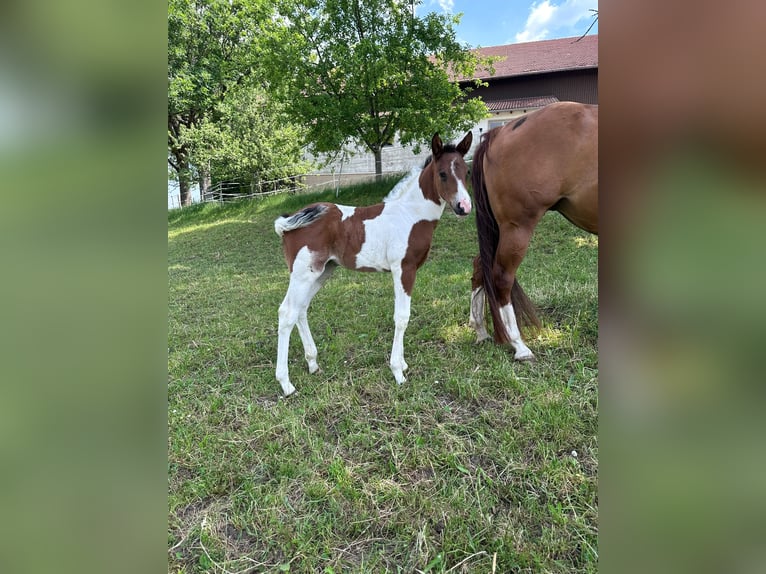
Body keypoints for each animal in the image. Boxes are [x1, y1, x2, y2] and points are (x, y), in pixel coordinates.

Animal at [274, 131, 473, 397]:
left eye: (466, 172)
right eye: (442, 173)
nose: (464, 207)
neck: (410, 215)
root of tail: (289, 223)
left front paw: (402, 364)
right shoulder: (403, 270)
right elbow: (402, 317)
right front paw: (398, 371)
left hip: (322, 272)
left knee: (301, 309)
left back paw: (313, 363)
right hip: (303, 274)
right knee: (286, 313)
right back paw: (286, 383)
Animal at [469, 101, 598, 360]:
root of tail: (500, 132)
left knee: (480, 266)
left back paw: (481, 331)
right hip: (517, 228)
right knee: (501, 278)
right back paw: (519, 346)